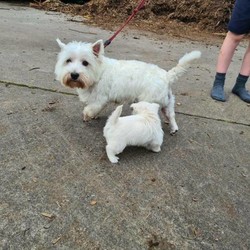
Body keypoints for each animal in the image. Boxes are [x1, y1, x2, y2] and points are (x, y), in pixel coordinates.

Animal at [55, 38, 201, 135]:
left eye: (85, 63)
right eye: (68, 61)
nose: (74, 75)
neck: (98, 73)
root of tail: (166, 76)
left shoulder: (100, 98)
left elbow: (90, 109)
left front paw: (87, 116)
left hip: (147, 101)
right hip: (168, 101)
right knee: (170, 114)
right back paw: (173, 127)